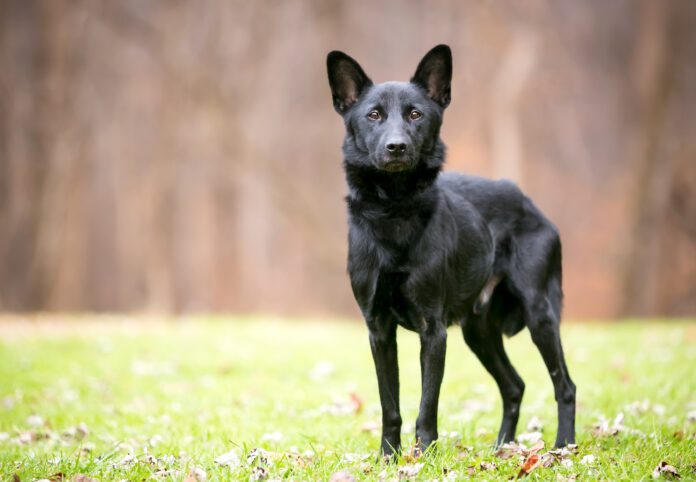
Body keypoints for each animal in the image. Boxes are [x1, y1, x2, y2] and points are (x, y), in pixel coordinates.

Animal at [328, 45, 576, 456]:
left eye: (415, 114)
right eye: (373, 115)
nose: (396, 147)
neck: (394, 211)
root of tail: (531, 205)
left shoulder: (434, 330)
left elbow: (427, 404)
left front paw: (424, 456)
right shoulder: (379, 330)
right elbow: (390, 405)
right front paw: (389, 457)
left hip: (539, 314)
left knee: (565, 386)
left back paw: (563, 447)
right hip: (479, 332)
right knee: (515, 386)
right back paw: (503, 448)